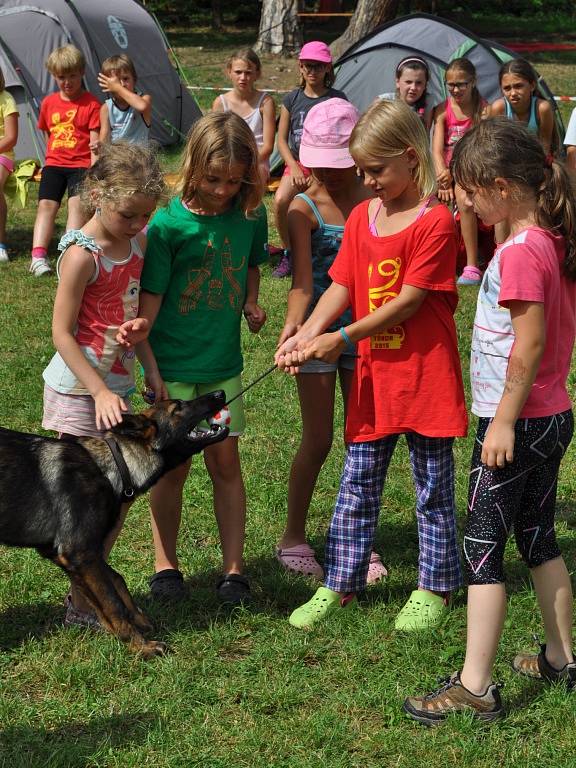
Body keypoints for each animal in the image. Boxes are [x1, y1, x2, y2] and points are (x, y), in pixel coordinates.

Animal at [0, 392, 228, 656]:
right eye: (178, 407)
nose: (219, 394)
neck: (113, 465)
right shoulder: (81, 553)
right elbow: (112, 603)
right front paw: (141, 646)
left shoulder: (80, 556)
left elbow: (116, 580)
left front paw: (135, 621)